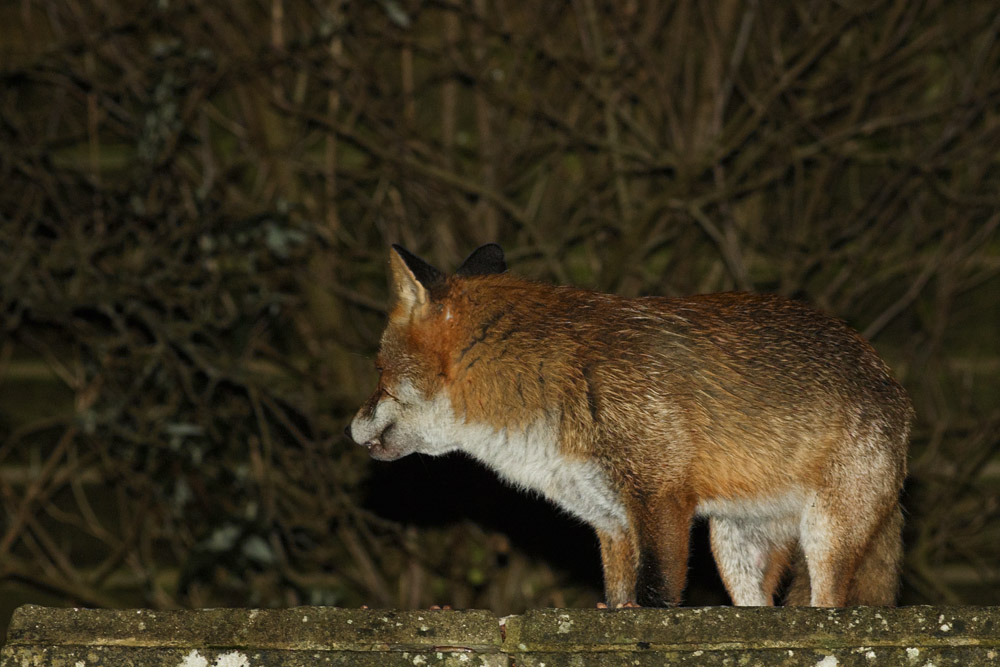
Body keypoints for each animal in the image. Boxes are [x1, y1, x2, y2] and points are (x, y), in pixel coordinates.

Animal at [345, 243, 912, 607]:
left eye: (379, 371)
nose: (350, 429)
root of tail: (890, 382)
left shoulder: (661, 496)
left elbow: (656, 594)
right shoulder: (613, 522)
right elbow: (620, 601)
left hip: (827, 535)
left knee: (828, 604)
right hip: (734, 547)